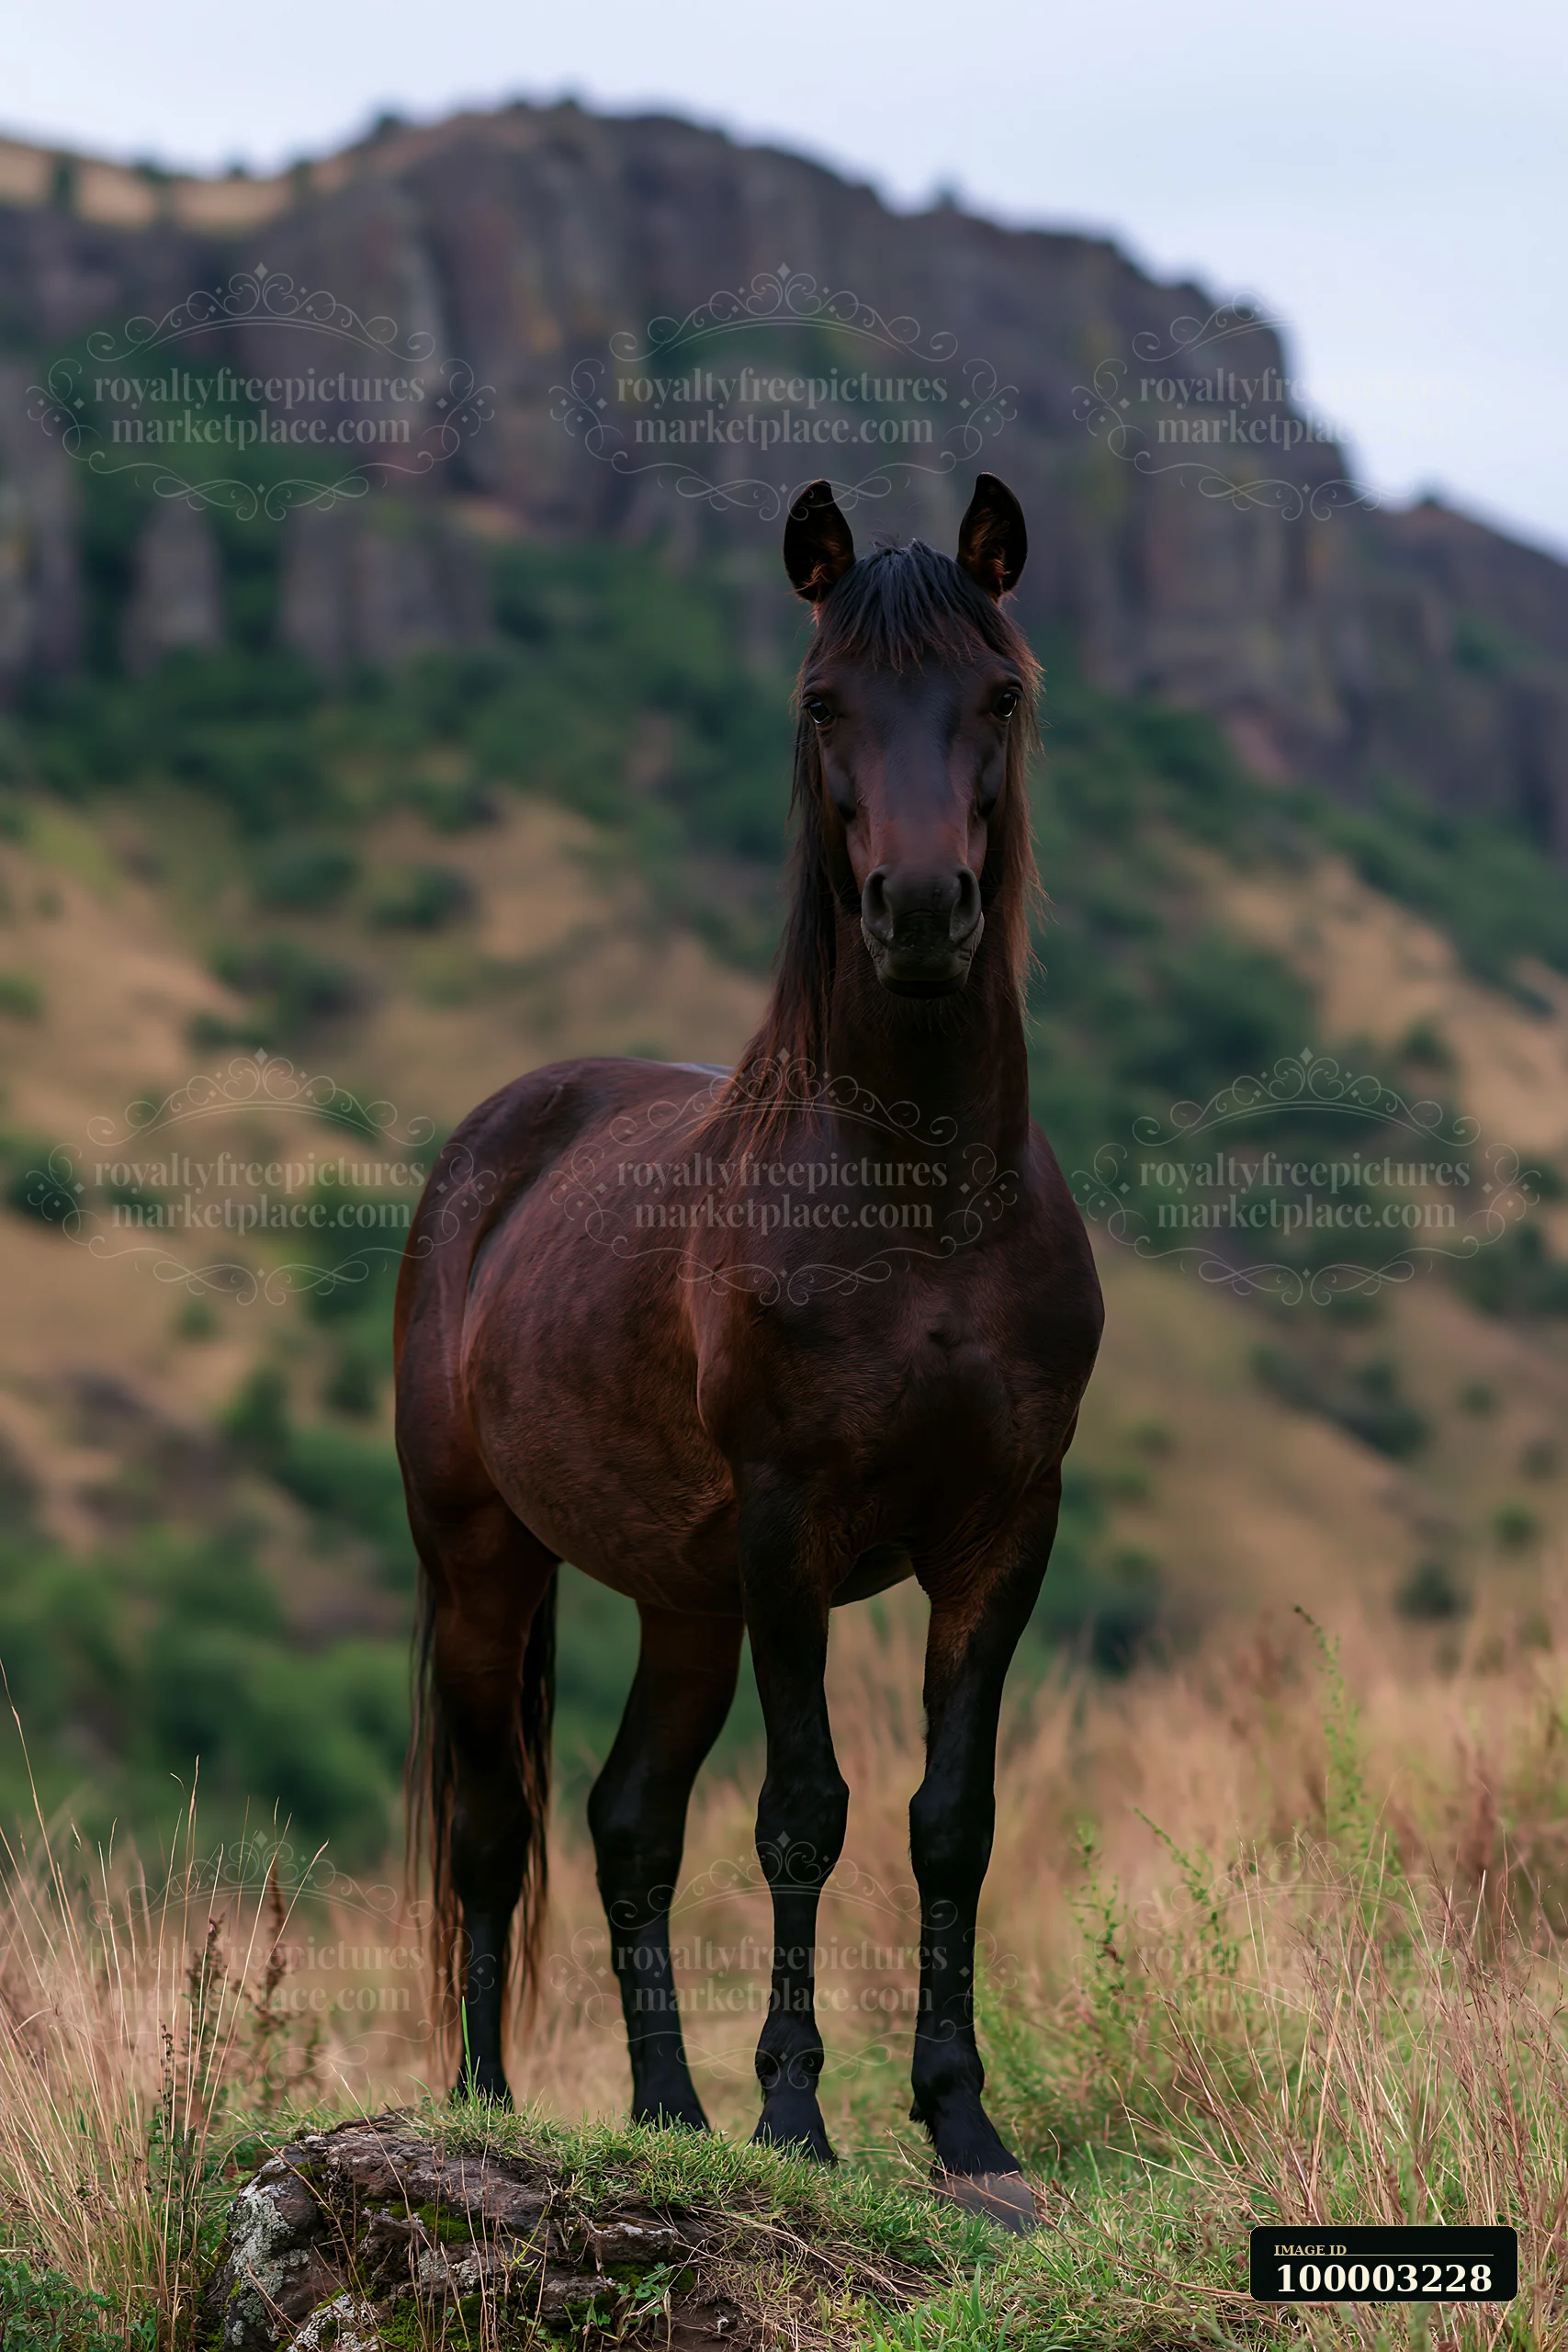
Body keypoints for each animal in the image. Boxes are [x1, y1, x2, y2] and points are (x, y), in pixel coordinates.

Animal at [394, 473, 1104, 2230]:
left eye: (998, 695)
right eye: (820, 700)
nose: (916, 914)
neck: (920, 1205)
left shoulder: (1005, 1532)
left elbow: (947, 1823)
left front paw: (964, 2131)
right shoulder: (794, 1530)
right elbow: (804, 1818)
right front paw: (797, 2119)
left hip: (680, 1600)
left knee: (625, 1823)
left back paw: (668, 2119)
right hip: (484, 1558)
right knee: (495, 1830)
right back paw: (487, 2105)